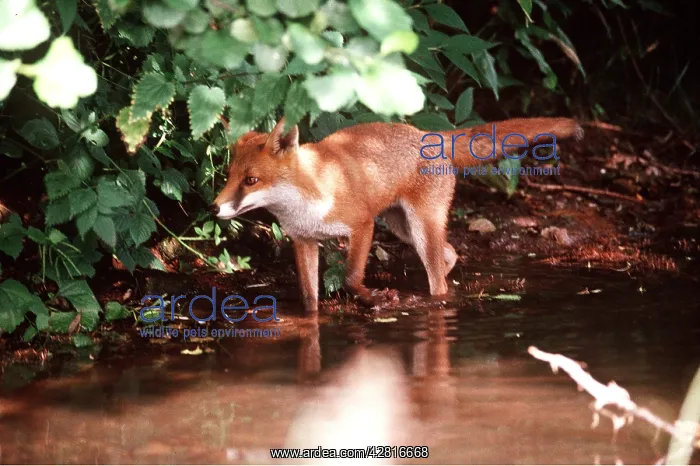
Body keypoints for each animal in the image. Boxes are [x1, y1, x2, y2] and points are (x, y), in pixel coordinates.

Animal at [211, 117, 583, 313]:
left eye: (251, 180)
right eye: (228, 177)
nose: (213, 207)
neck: (310, 193)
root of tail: (429, 134)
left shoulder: (362, 225)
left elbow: (350, 278)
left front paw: (373, 297)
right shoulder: (304, 240)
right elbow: (308, 297)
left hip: (419, 227)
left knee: (440, 278)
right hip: (403, 227)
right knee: (451, 255)